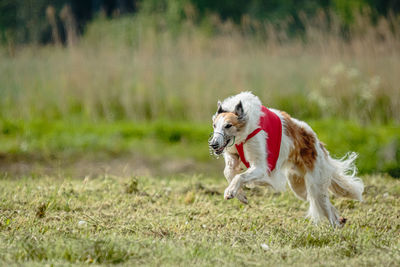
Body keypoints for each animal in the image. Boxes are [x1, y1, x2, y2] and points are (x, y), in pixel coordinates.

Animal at [211, 92, 364, 228]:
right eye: (214, 125)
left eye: (228, 125)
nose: (213, 144)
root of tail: (318, 143)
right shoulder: (234, 155)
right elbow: (228, 172)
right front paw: (240, 195)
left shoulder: (262, 167)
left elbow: (239, 176)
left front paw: (230, 192)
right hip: (299, 186)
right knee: (327, 206)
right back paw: (341, 221)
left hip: (315, 184)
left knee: (327, 208)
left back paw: (336, 228)